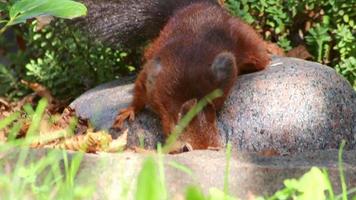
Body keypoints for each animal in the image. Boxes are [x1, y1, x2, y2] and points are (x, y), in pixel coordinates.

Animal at [112, 2, 268, 152]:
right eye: (185, 148)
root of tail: (201, 4)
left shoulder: (224, 72)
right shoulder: (153, 75)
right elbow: (140, 89)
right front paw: (130, 110)